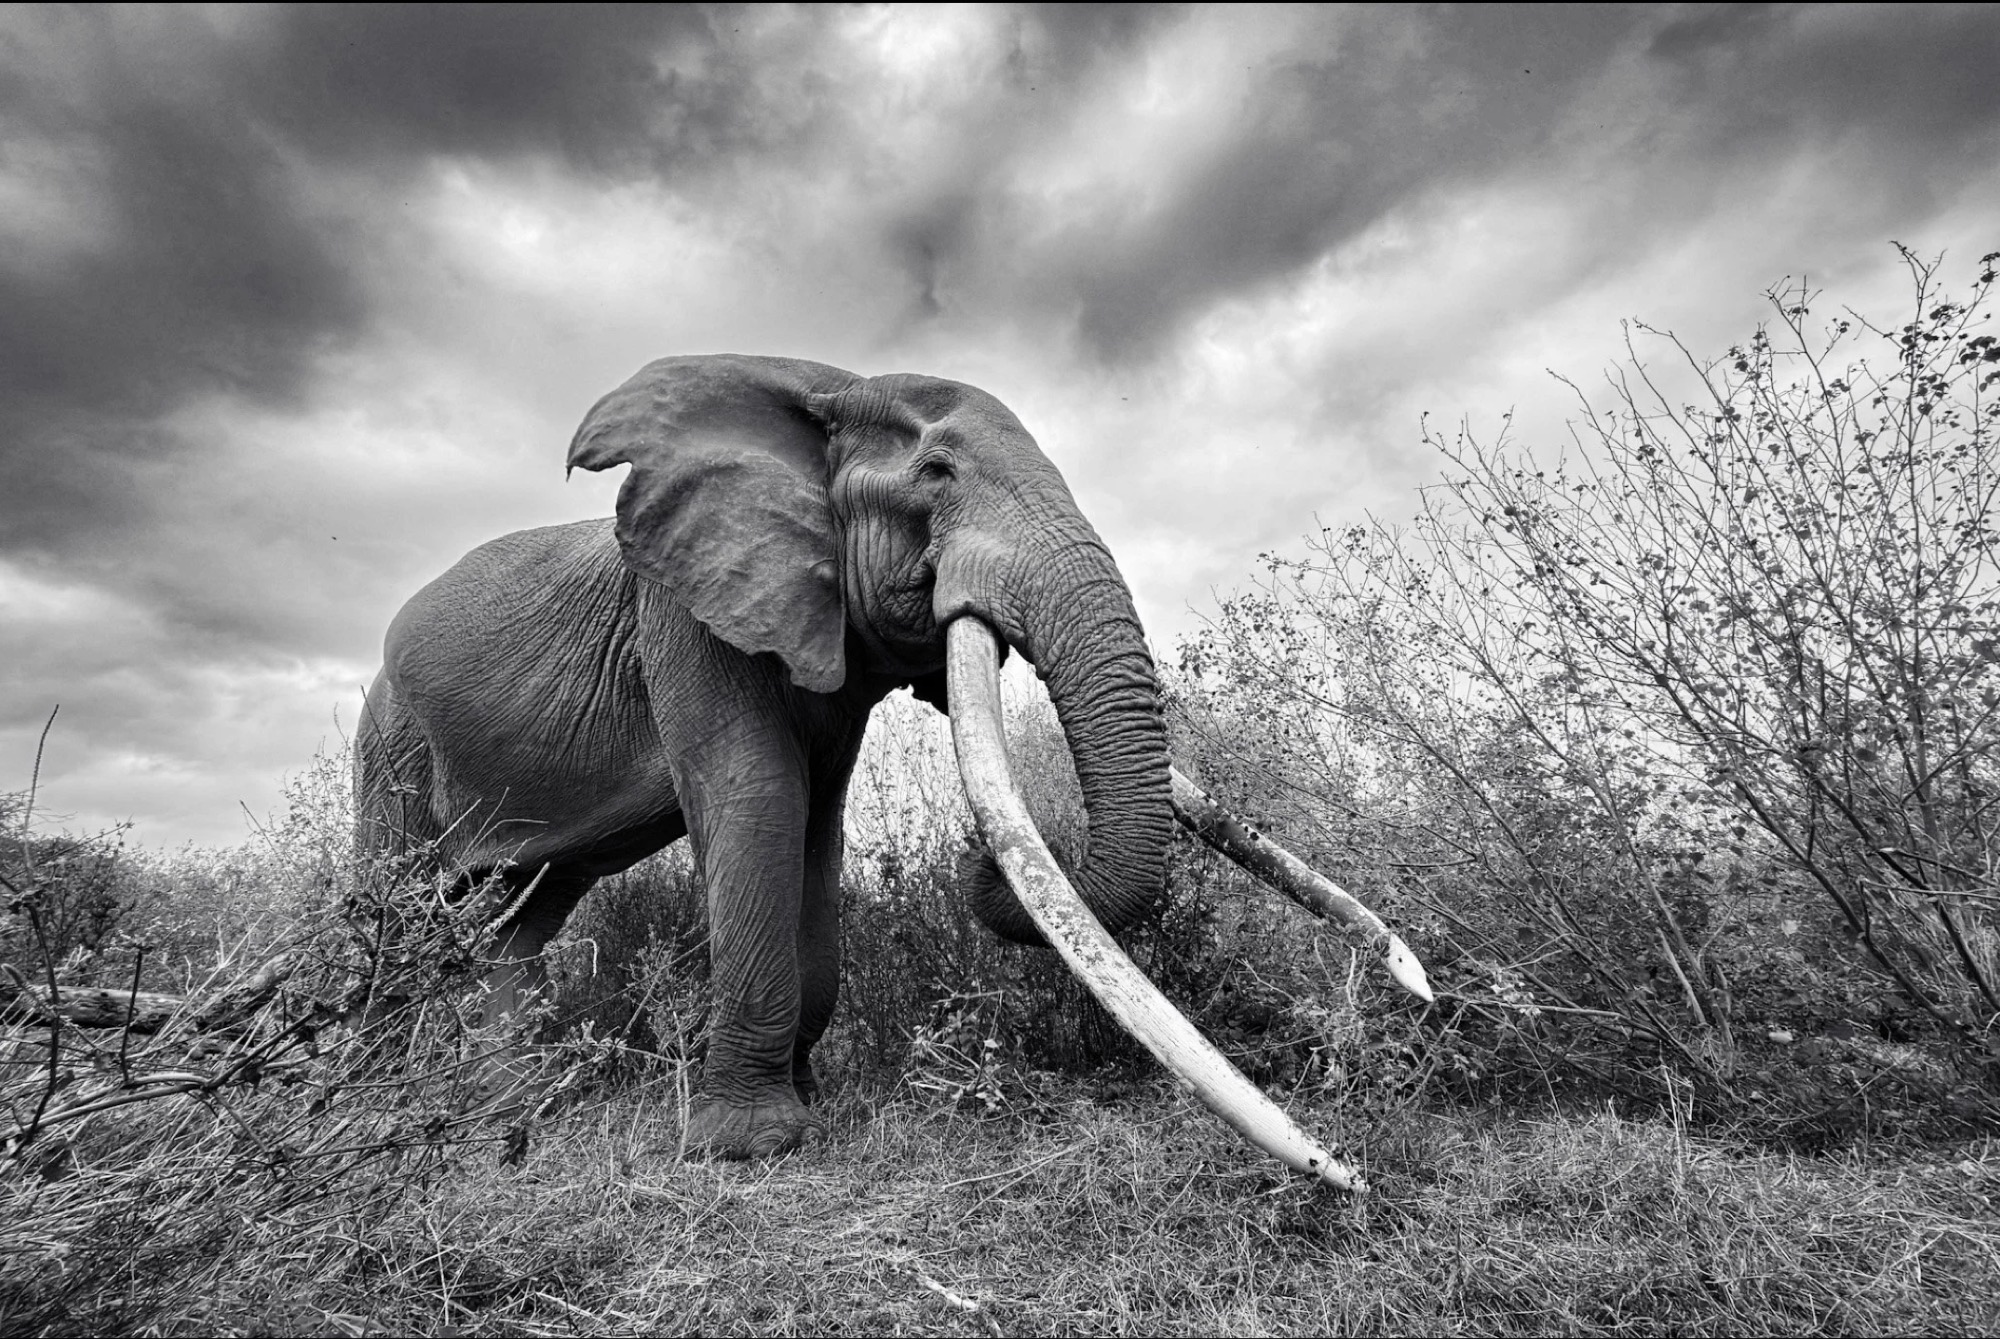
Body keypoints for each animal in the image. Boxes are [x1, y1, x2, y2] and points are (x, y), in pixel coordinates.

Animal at [357, 354, 1428, 1188]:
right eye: (938, 472)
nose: (1416, 983)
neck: (825, 390)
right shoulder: (687, 611)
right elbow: (760, 799)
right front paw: (750, 1148)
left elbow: (815, 822)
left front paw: (806, 1105)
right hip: (389, 743)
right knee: (394, 907)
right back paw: (385, 1108)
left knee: (520, 918)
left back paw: (510, 1113)